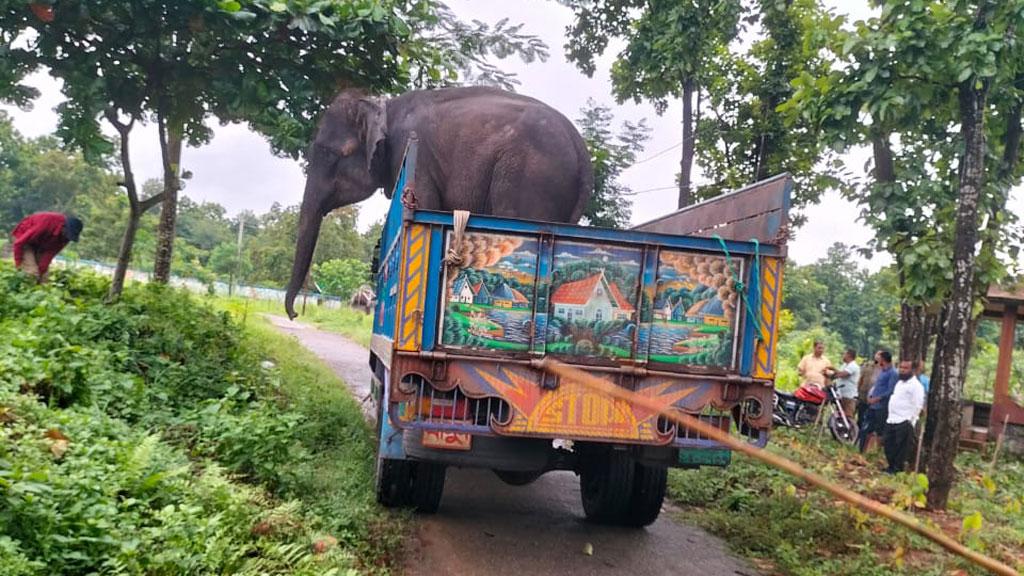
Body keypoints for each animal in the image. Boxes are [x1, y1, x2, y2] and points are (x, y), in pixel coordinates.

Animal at [286, 85, 593, 317]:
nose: (295, 313)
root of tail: (582, 153)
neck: (383, 105)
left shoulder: (415, 157)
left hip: (528, 180)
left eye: (328, 153)